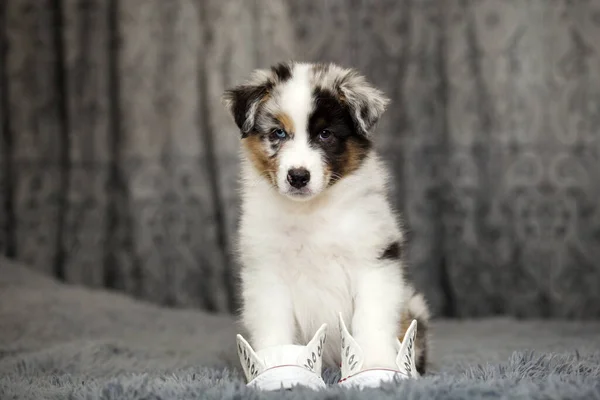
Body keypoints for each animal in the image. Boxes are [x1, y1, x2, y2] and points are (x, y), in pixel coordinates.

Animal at [223, 61, 428, 374]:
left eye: (325, 134)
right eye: (278, 133)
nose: (298, 177)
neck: (311, 210)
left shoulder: (374, 259)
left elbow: (371, 319)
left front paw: (376, 365)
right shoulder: (267, 270)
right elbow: (274, 325)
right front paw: (275, 366)